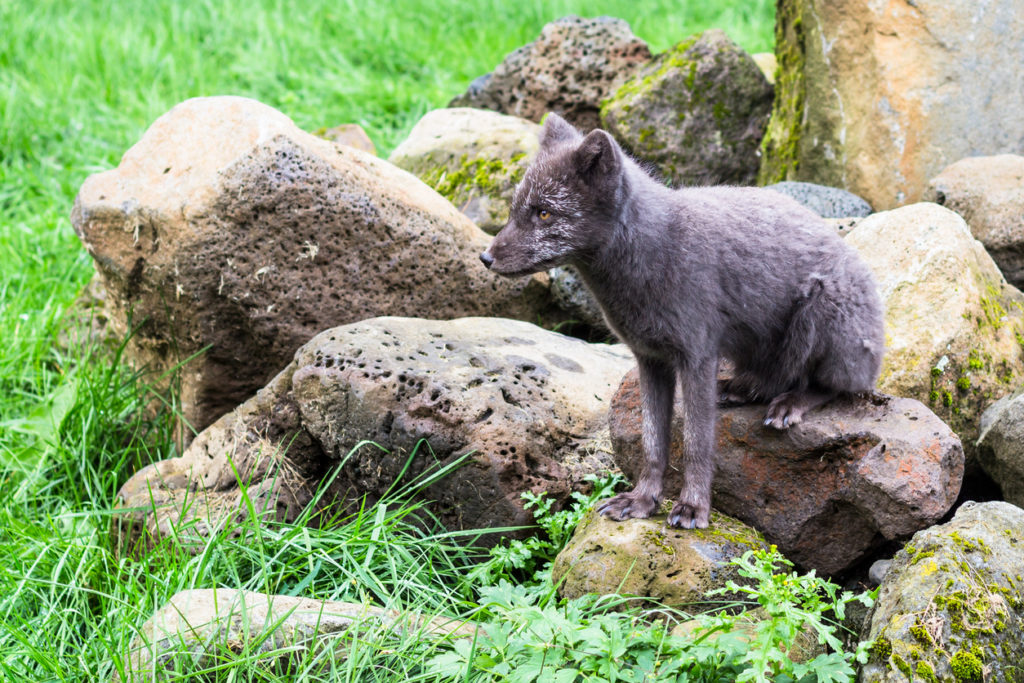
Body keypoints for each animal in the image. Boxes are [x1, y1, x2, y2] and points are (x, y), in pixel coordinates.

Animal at [477, 113, 880, 528]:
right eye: (514, 209)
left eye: (544, 213)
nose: (485, 258)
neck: (651, 251)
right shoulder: (650, 359)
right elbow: (653, 442)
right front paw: (642, 501)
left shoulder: (697, 356)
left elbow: (696, 443)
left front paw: (693, 507)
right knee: (773, 379)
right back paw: (742, 388)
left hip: (820, 312)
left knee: (836, 385)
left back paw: (791, 404)